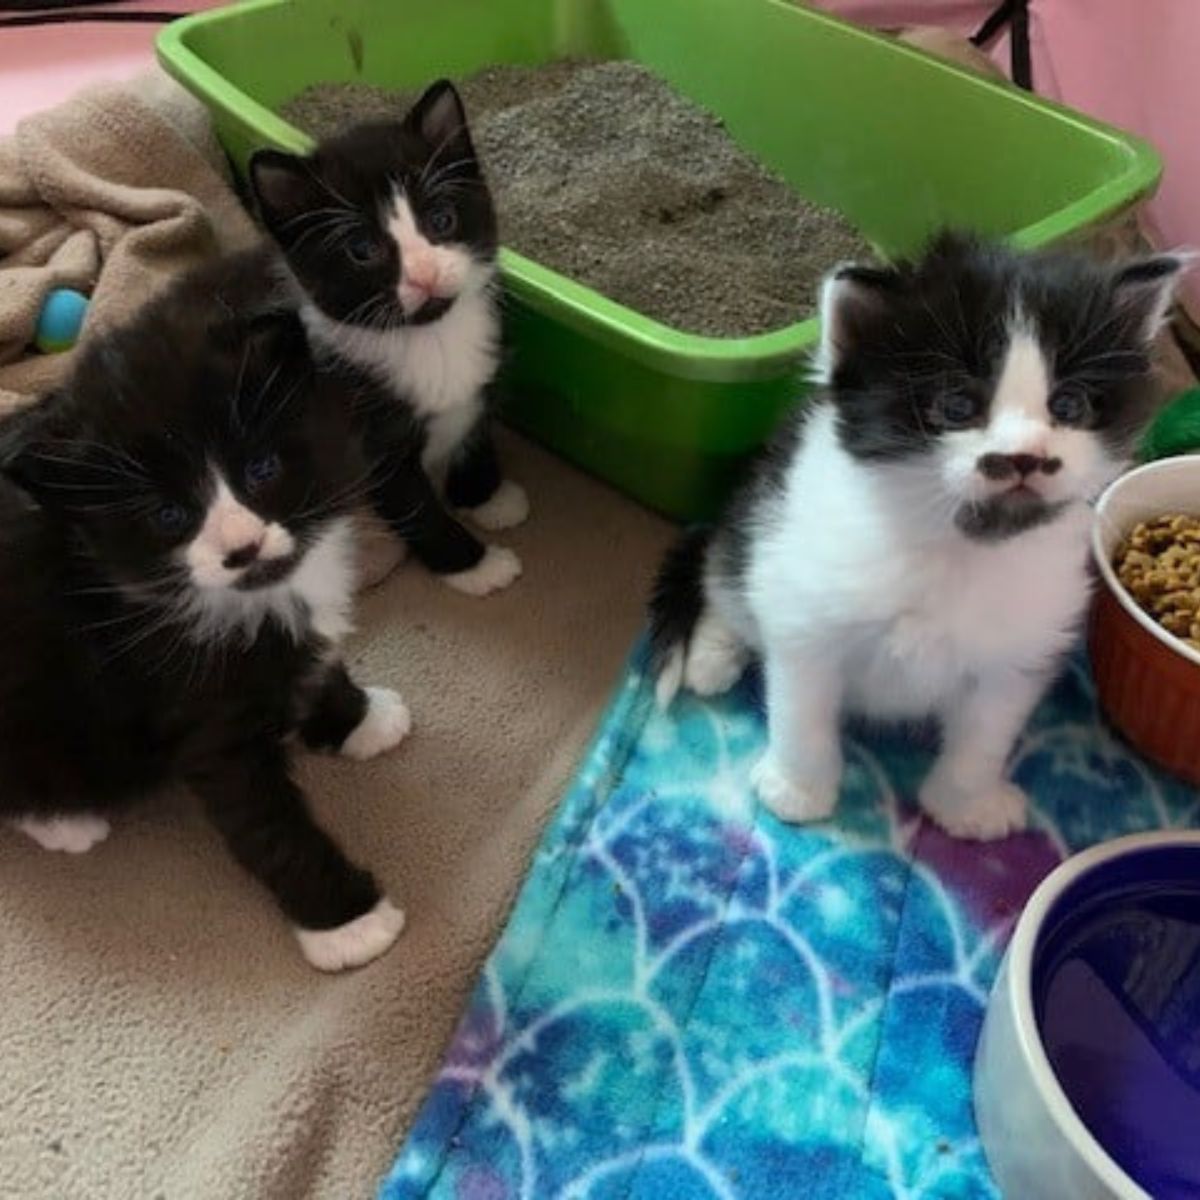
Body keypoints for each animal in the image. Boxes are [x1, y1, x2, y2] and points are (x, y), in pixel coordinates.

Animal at [0, 283, 410, 974]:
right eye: (169, 516)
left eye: (262, 471)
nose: (243, 549)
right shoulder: (204, 718)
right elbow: (267, 825)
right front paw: (347, 925)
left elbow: (319, 664)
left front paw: (361, 718)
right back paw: (64, 820)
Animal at [249, 81, 525, 600]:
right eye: (362, 249)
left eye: (441, 220)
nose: (425, 273)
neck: (431, 339)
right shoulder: (373, 450)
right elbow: (420, 511)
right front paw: (476, 567)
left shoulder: (481, 383)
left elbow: (476, 434)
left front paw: (488, 498)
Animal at [652, 229, 1185, 840]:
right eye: (957, 406)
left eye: (1068, 405)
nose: (1025, 458)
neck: (955, 547)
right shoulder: (806, 613)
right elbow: (801, 708)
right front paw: (799, 789)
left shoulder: (1018, 652)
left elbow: (985, 735)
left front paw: (964, 804)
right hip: (755, 521)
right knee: (721, 574)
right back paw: (712, 657)